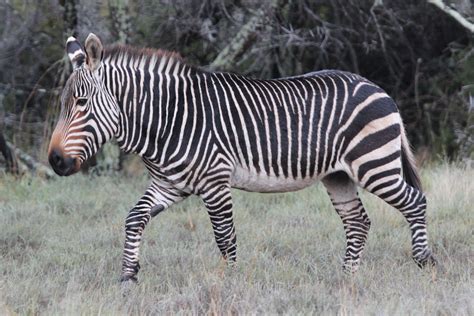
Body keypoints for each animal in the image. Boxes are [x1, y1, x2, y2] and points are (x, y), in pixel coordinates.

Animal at [49, 33, 436, 282]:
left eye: (81, 103)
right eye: (63, 104)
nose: (55, 161)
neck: (167, 118)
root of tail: (378, 89)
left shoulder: (215, 183)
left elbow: (225, 237)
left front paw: (229, 283)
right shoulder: (169, 184)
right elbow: (133, 219)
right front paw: (128, 276)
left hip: (374, 165)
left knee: (415, 202)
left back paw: (425, 264)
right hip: (338, 175)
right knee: (358, 222)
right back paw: (347, 278)